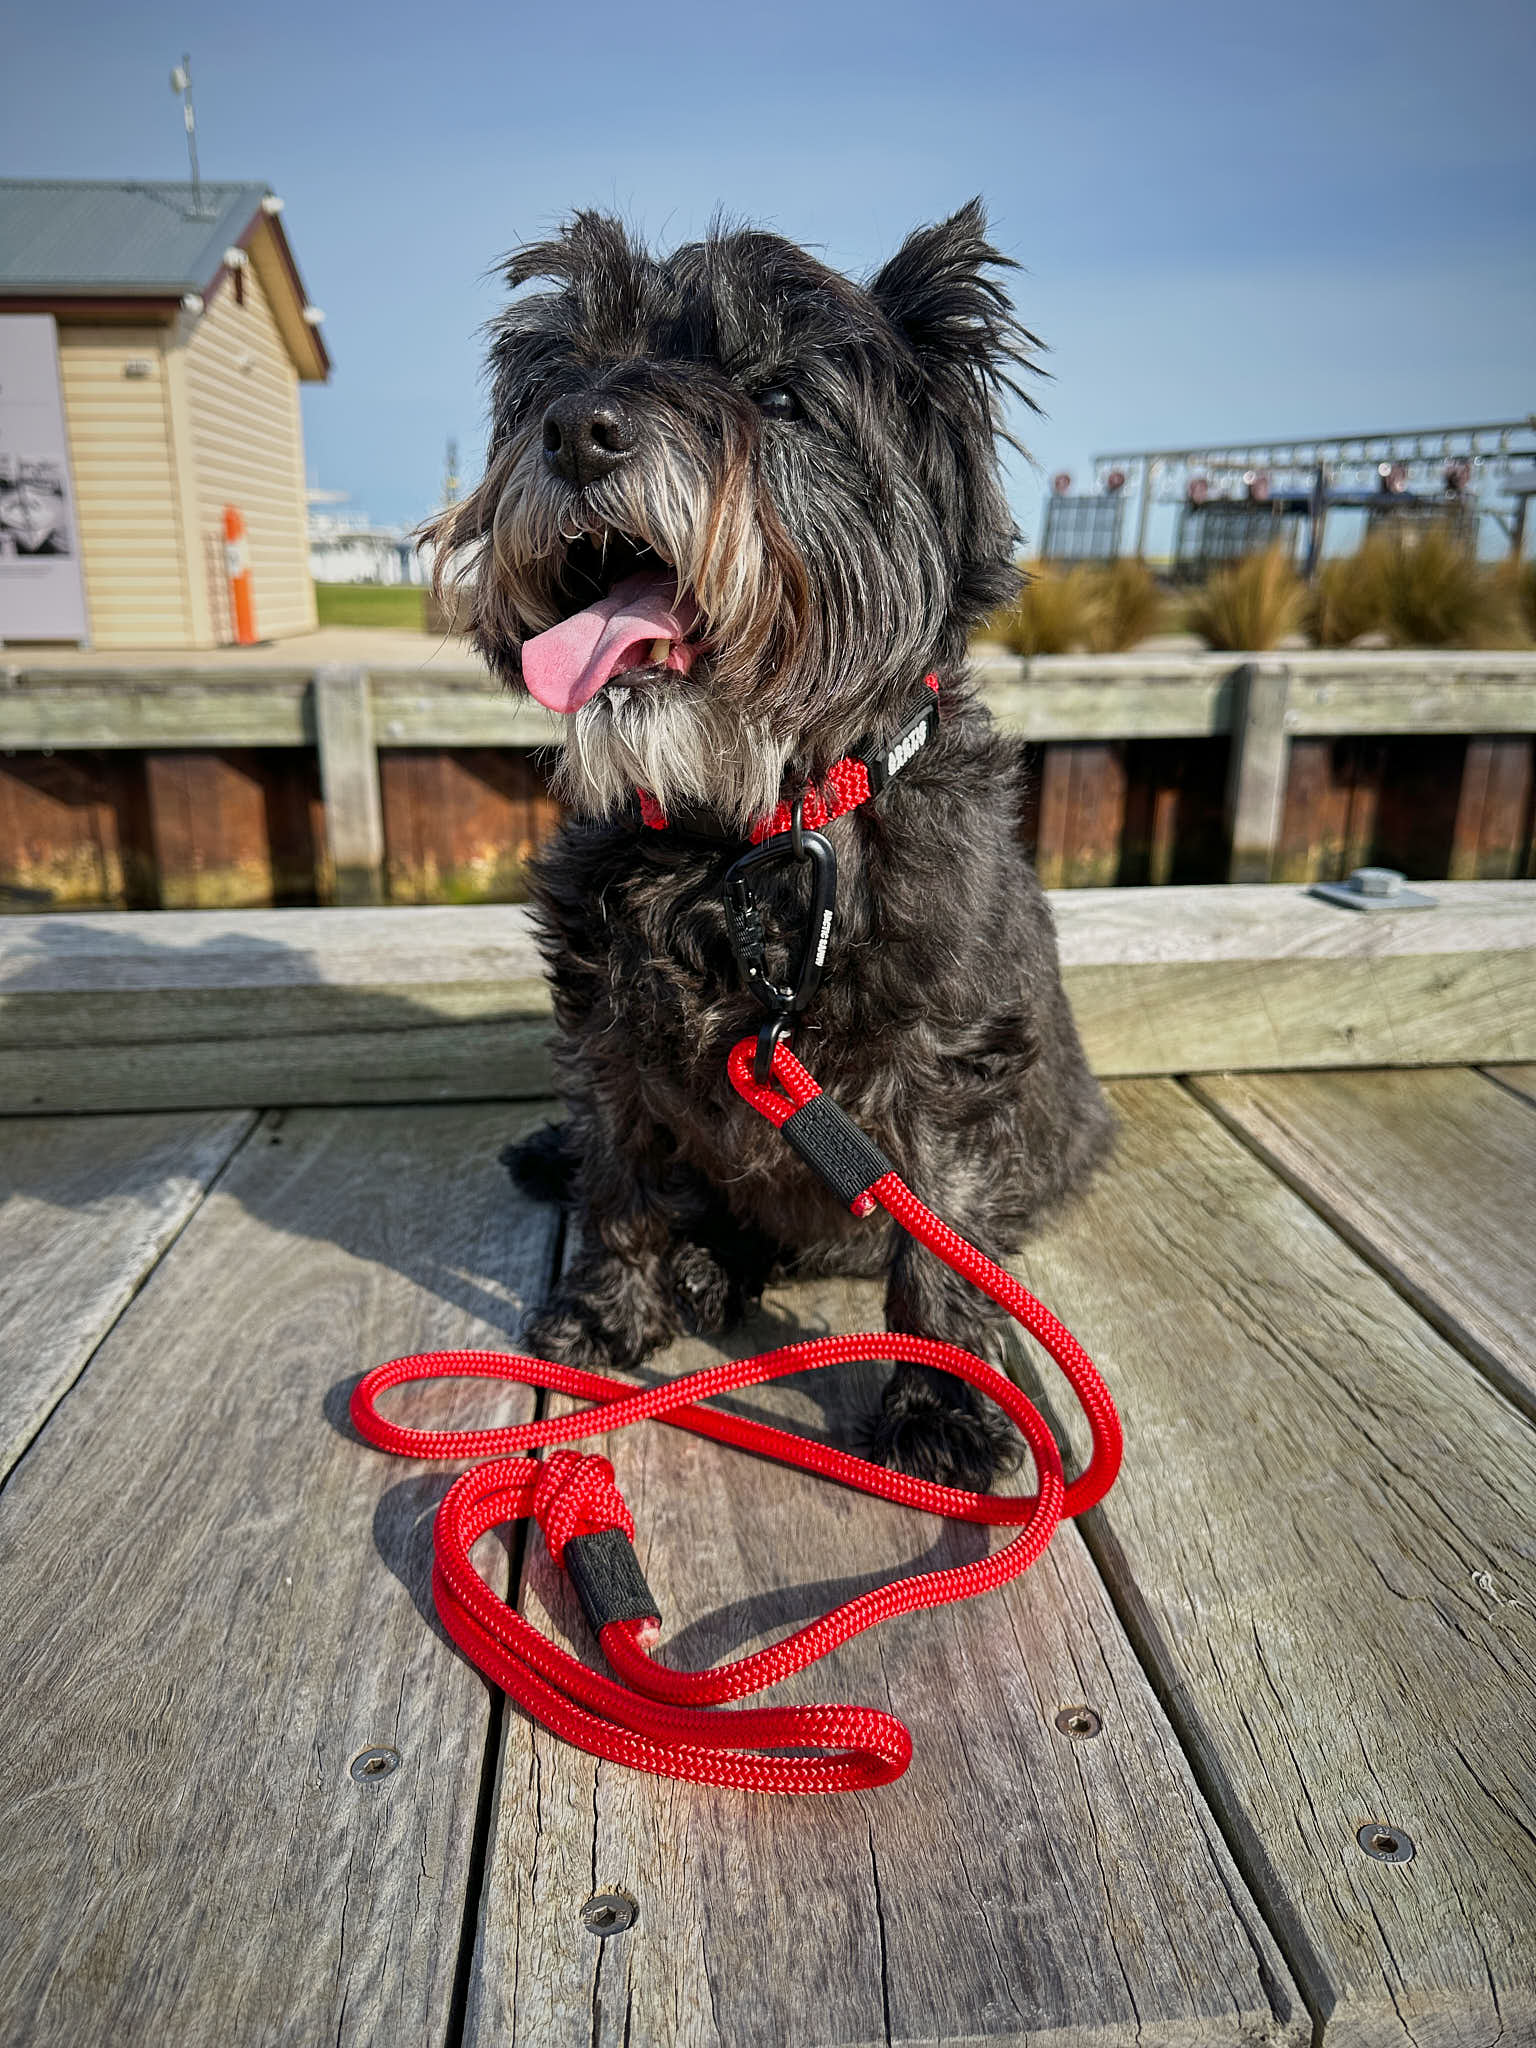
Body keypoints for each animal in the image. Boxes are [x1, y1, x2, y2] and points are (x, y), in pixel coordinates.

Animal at [428, 199, 1114, 1490]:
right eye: (561, 368)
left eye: (783, 396)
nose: (578, 430)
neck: (739, 841)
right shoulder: (614, 1043)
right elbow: (624, 1178)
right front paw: (607, 1309)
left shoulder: (944, 1065)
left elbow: (939, 1235)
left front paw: (943, 1405)